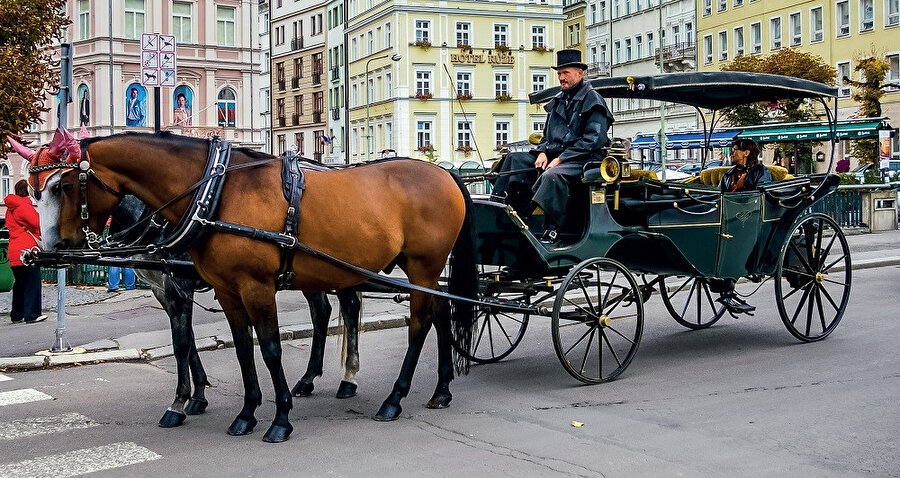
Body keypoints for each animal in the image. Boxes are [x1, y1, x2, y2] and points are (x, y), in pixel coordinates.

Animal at [40, 133, 478, 442]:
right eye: (37, 188)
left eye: (62, 186)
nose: (51, 247)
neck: (214, 195)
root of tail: (447, 174)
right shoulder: (225, 290)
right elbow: (239, 349)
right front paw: (244, 411)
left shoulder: (251, 287)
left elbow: (267, 349)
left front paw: (279, 417)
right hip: (411, 272)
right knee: (437, 313)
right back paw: (440, 390)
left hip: (422, 267)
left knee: (418, 325)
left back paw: (393, 398)